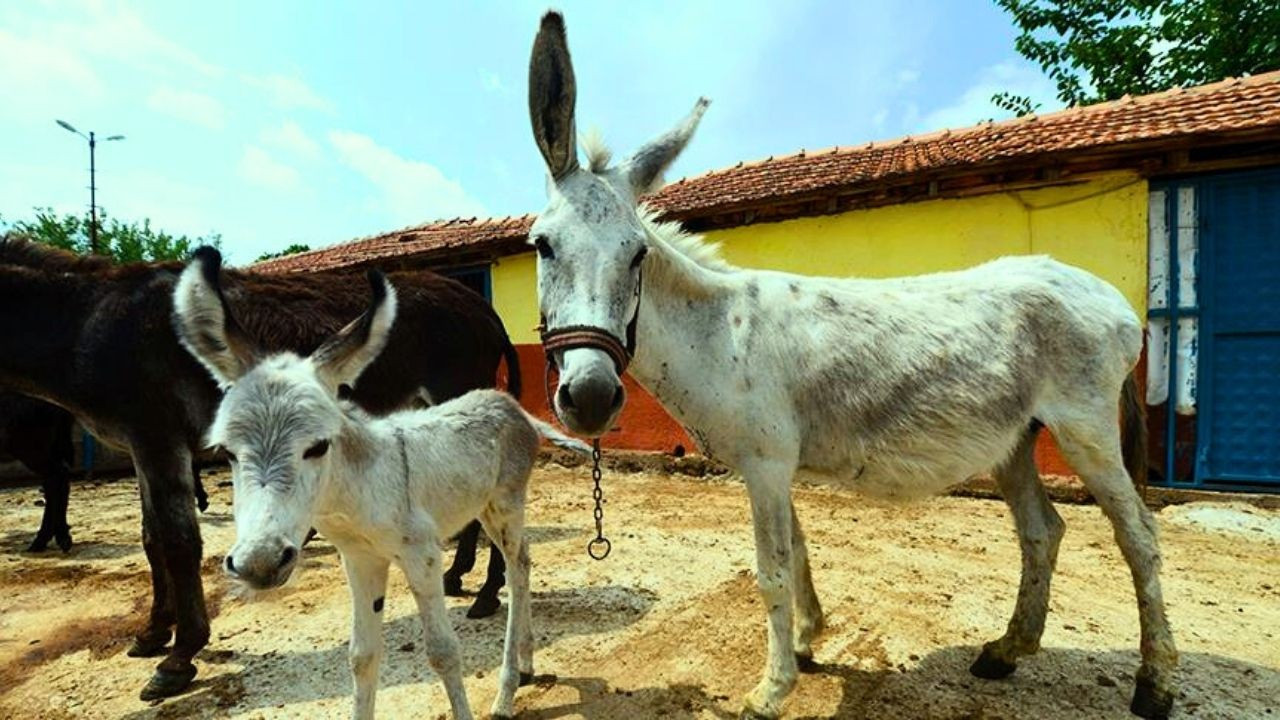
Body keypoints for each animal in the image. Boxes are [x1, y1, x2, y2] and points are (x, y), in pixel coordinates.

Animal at [174, 257, 570, 717]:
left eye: (318, 447)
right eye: (227, 453)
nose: (259, 563)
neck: (358, 490)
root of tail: (510, 405)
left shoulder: (422, 556)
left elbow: (443, 652)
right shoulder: (360, 560)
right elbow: (361, 656)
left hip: (504, 505)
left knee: (516, 566)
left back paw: (507, 688)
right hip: (486, 509)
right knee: (523, 559)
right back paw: (525, 664)